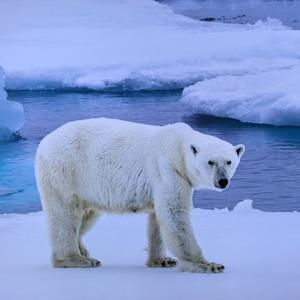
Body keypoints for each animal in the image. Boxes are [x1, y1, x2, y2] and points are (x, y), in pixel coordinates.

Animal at [35, 118, 245, 274]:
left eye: (229, 161)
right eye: (210, 162)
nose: (222, 181)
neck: (178, 147)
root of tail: (44, 143)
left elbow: (158, 219)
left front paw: (162, 260)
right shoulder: (167, 169)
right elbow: (174, 213)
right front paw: (209, 265)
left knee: (87, 214)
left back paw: (83, 250)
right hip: (66, 171)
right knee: (65, 215)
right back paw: (76, 259)